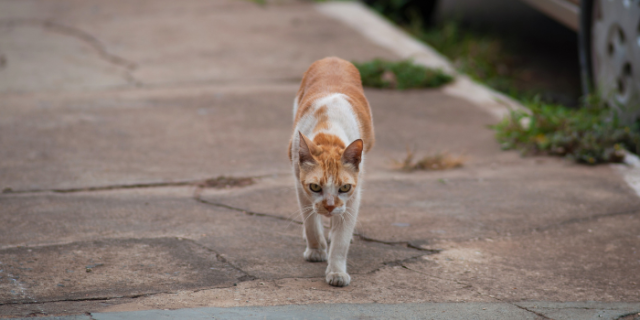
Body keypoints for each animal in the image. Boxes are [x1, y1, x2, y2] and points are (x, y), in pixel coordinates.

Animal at [288, 56, 372, 286]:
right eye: (315, 187)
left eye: (344, 188)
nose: (329, 207)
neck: (328, 133)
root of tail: (333, 58)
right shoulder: (299, 184)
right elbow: (310, 222)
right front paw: (316, 250)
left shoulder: (354, 196)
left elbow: (341, 240)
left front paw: (336, 272)